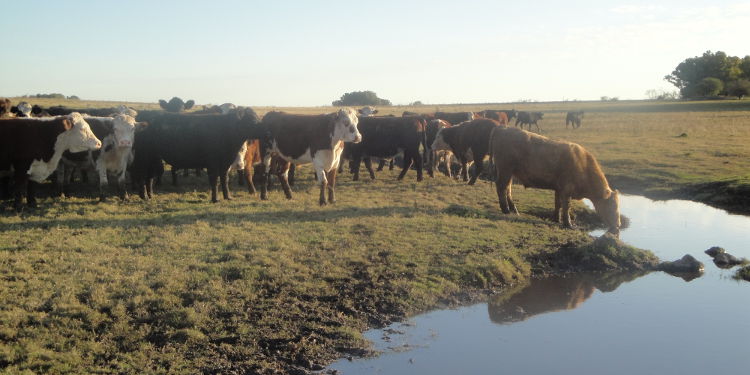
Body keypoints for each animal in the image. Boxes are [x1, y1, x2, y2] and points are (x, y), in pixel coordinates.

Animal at [131, 108, 266, 203]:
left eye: (257, 118)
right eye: (250, 120)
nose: (263, 128)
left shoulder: (225, 163)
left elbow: (224, 179)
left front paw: (228, 197)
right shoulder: (212, 163)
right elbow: (214, 180)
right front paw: (215, 199)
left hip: (153, 158)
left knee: (149, 177)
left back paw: (150, 196)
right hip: (143, 157)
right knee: (141, 175)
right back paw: (144, 196)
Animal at [488, 128, 624, 236]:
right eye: (612, 206)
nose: (618, 224)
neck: (583, 165)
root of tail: (503, 129)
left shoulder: (559, 189)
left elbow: (557, 204)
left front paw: (556, 219)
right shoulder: (566, 190)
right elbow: (566, 207)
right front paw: (569, 224)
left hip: (510, 173)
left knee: (508, 189)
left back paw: (514, 211)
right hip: (505, 170)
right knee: (501, 187)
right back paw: (505, 210)